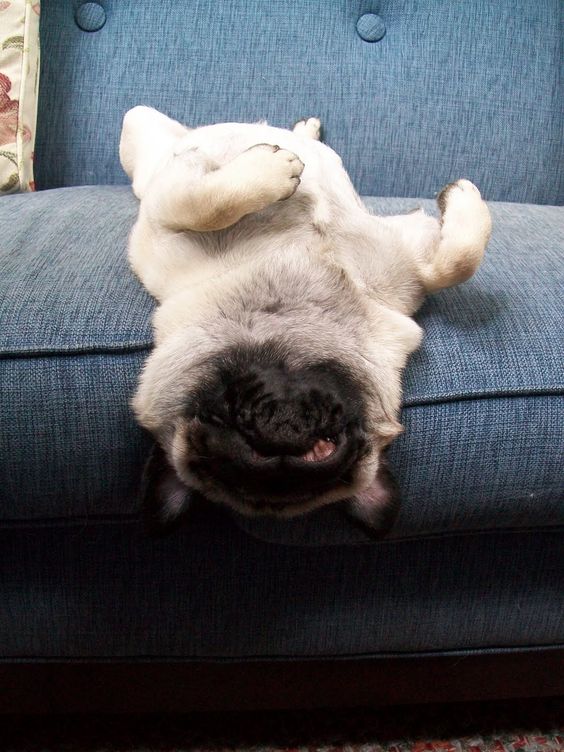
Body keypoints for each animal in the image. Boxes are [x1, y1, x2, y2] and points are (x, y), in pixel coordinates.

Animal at [119, 107, 490, 536]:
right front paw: (272, 170)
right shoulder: (165, 211)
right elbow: (204, 204)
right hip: (141, 135)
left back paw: (304, 131)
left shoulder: (406, 268)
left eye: (325, 447)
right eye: (219, 419)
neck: (292, 302)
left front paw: (461, 198)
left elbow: (454, 263)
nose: (281, 435)